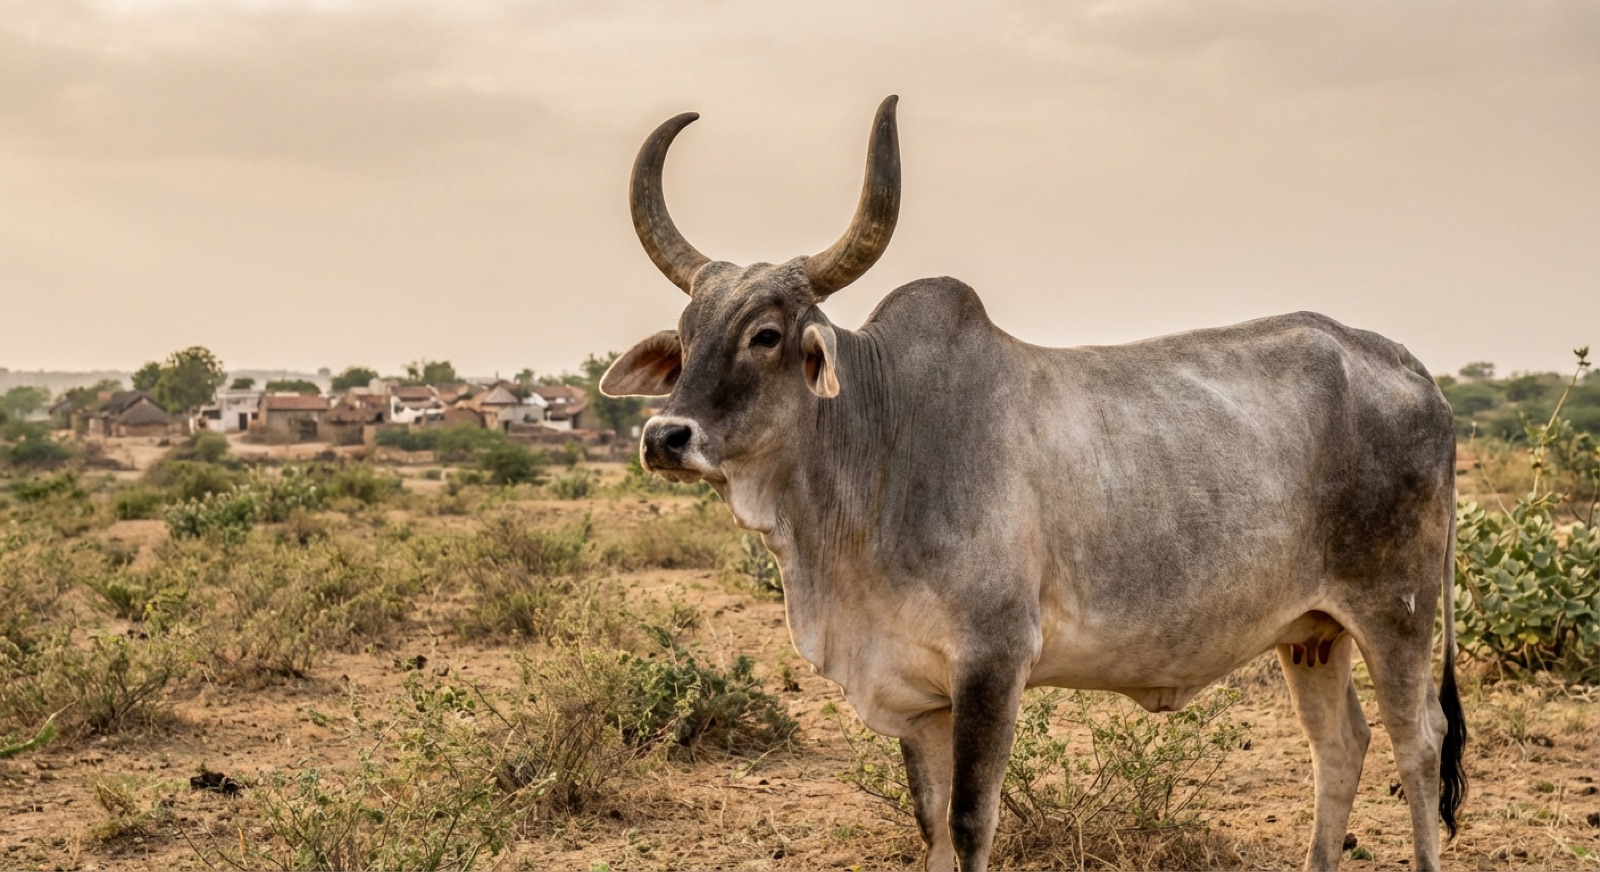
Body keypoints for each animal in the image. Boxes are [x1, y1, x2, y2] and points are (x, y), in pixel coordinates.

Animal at [601, 96, 1467, 872]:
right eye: (684, 337)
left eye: (766, 335)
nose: (664, 436)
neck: (880, 451)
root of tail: (1408, 366)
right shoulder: (921, 696)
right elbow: (932, 828)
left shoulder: (993, 660)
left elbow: (970, 822)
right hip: (1312, 631)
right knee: (1341, 745)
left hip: (1395, 611)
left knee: (1418, 744)